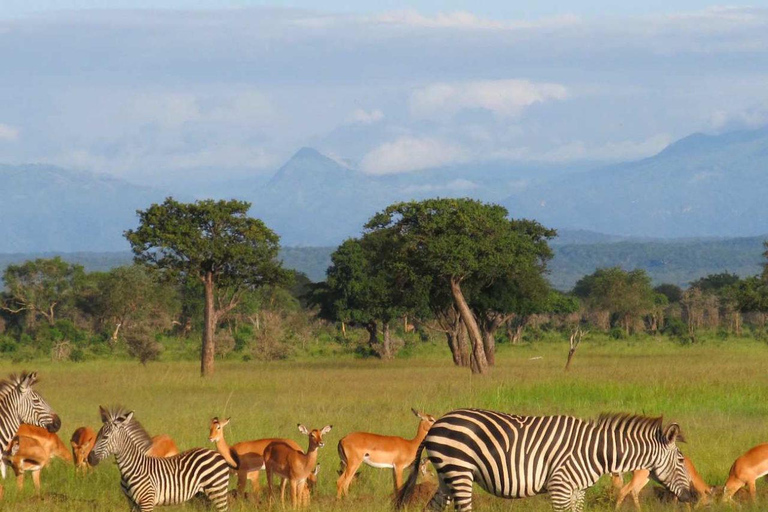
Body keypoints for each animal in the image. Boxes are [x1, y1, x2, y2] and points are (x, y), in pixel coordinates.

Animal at [87, 406, 234, 510]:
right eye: (97, 435)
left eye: (105, 437)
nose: (89, 459)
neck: (133, 469)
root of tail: (215, 453)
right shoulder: (132, 503)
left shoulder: (147, 501)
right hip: (205, 494)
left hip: (218, 491)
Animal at [400, 410, 692, 512]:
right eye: (681, 460)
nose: (692, 496)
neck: (596, 451)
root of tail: (438, 422)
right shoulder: (560, 486)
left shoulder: (577, 491)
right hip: (459, 471)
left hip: (446, 476)